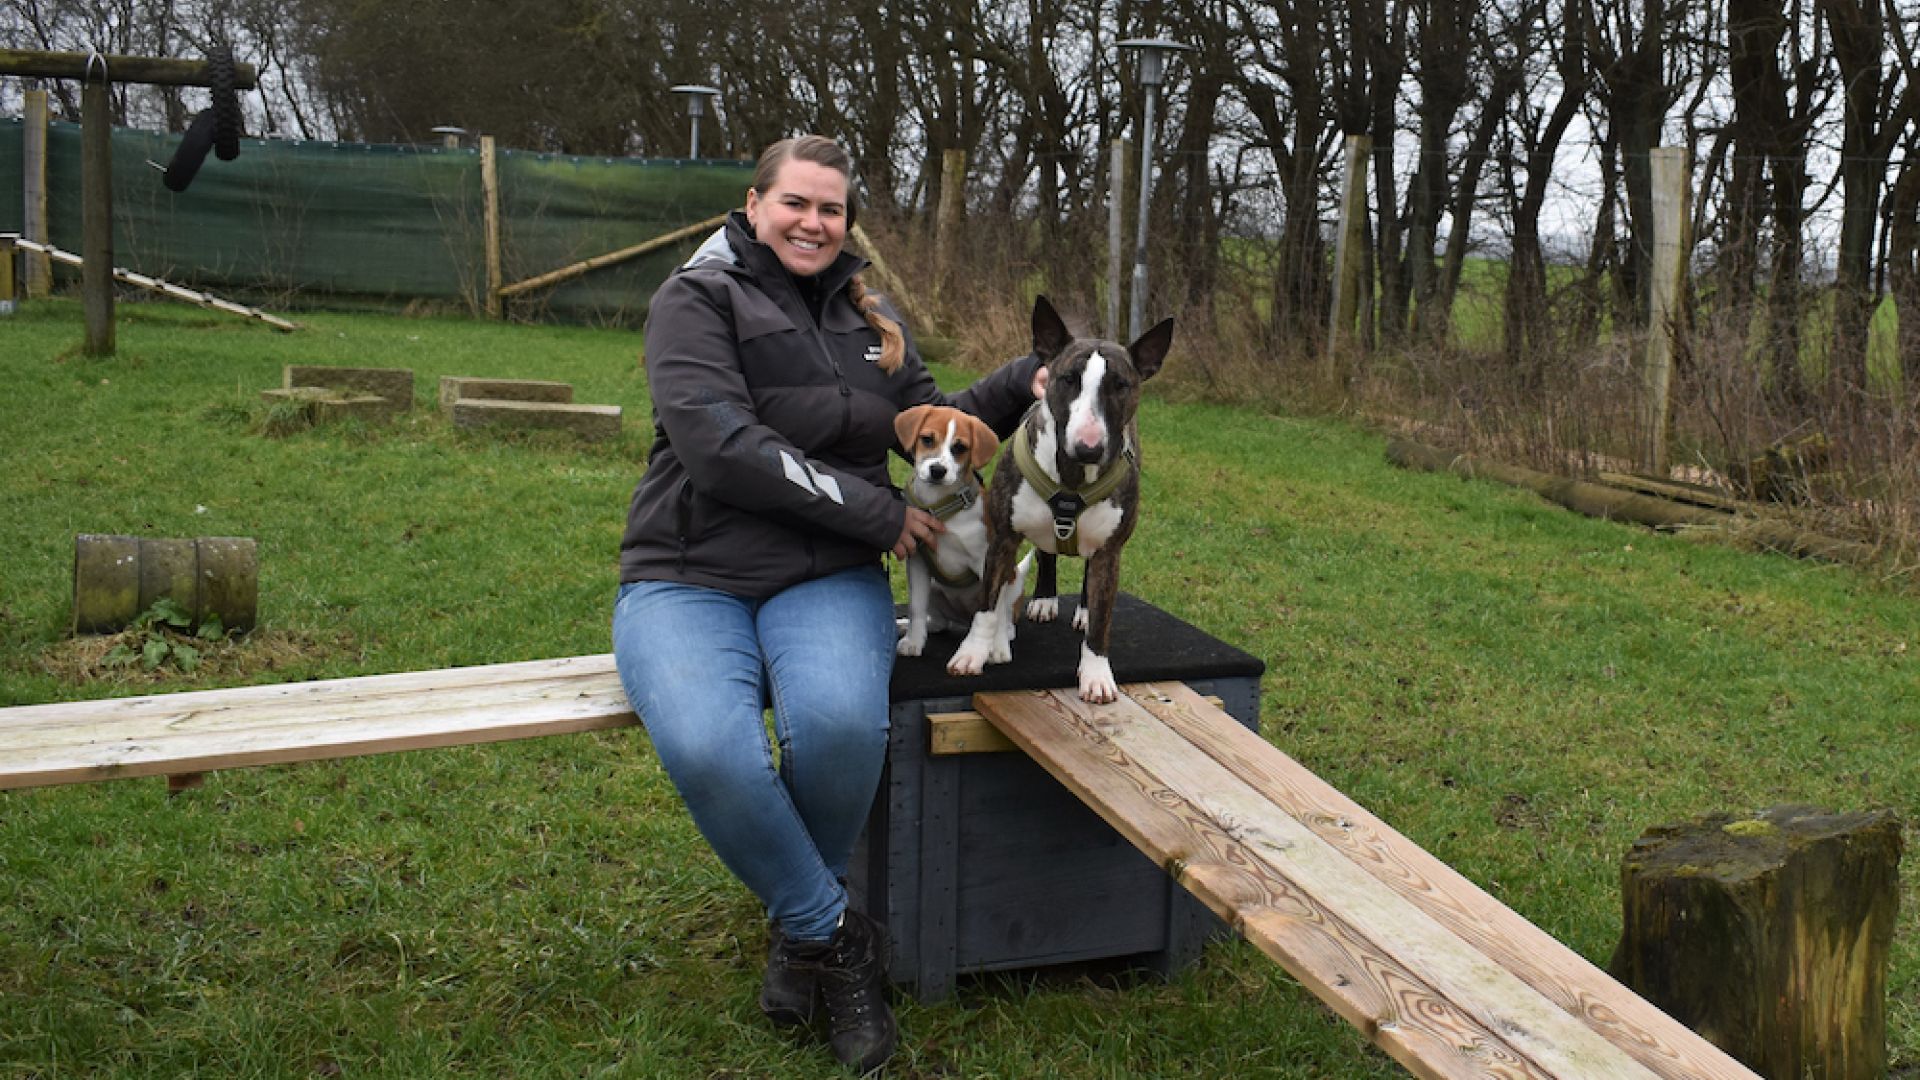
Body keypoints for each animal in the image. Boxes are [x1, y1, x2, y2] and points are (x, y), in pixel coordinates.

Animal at [894, 403, 1029, 657]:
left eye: (959, 447)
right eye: (927, 439)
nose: (937, 470)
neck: (941, 507)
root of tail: (962, 619)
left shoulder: (988, 563)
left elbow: (994, 609)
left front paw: (996, 648)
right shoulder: (918, 562)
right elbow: (916, 606)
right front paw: (913, 640)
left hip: (1013, 580)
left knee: (1006, 614)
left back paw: (1004, 634)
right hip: (935, 586)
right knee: (939, 622)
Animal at [944, 295, 1167, 699]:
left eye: (1120, 385)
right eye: (1068, 380)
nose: (1089, 448)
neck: (1072, 477)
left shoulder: (1111, 550)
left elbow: (1102, 619)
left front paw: (1096, 674)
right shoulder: (1002, 538)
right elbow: (987, 605)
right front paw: (971, 654)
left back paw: (1082, 609)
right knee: (1047, 551)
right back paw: (1045, 599)